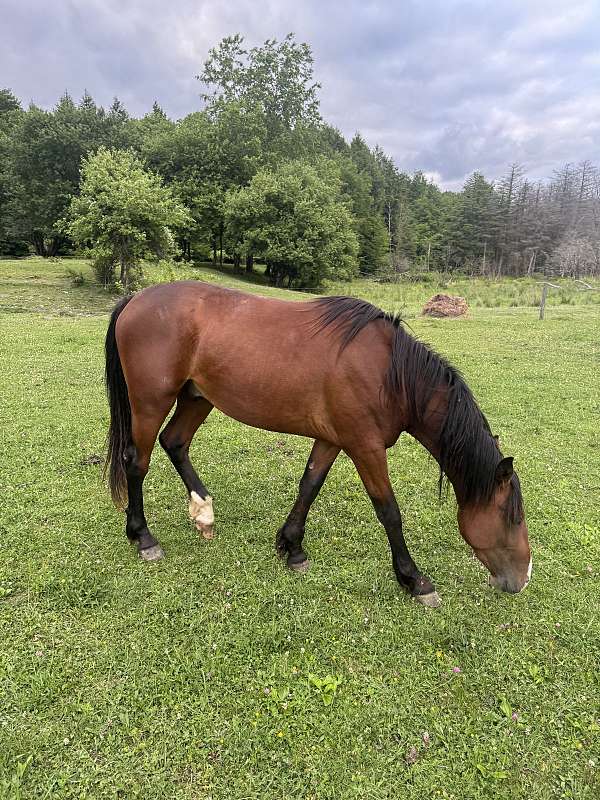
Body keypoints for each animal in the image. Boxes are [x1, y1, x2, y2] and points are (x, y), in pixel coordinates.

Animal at [104, 281, 532, 607]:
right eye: (513, 518)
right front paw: (414, 580)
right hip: (151, 402)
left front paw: (291, 547)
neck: (389, 373)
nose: (522, 579)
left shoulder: (331, 439)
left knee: (174, 443)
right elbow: (388, 511)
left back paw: (203, 512)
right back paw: (143, 538)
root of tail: (135, 299)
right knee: (136, 461)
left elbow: (309, 486)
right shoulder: (365, 446)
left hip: (196, 397)